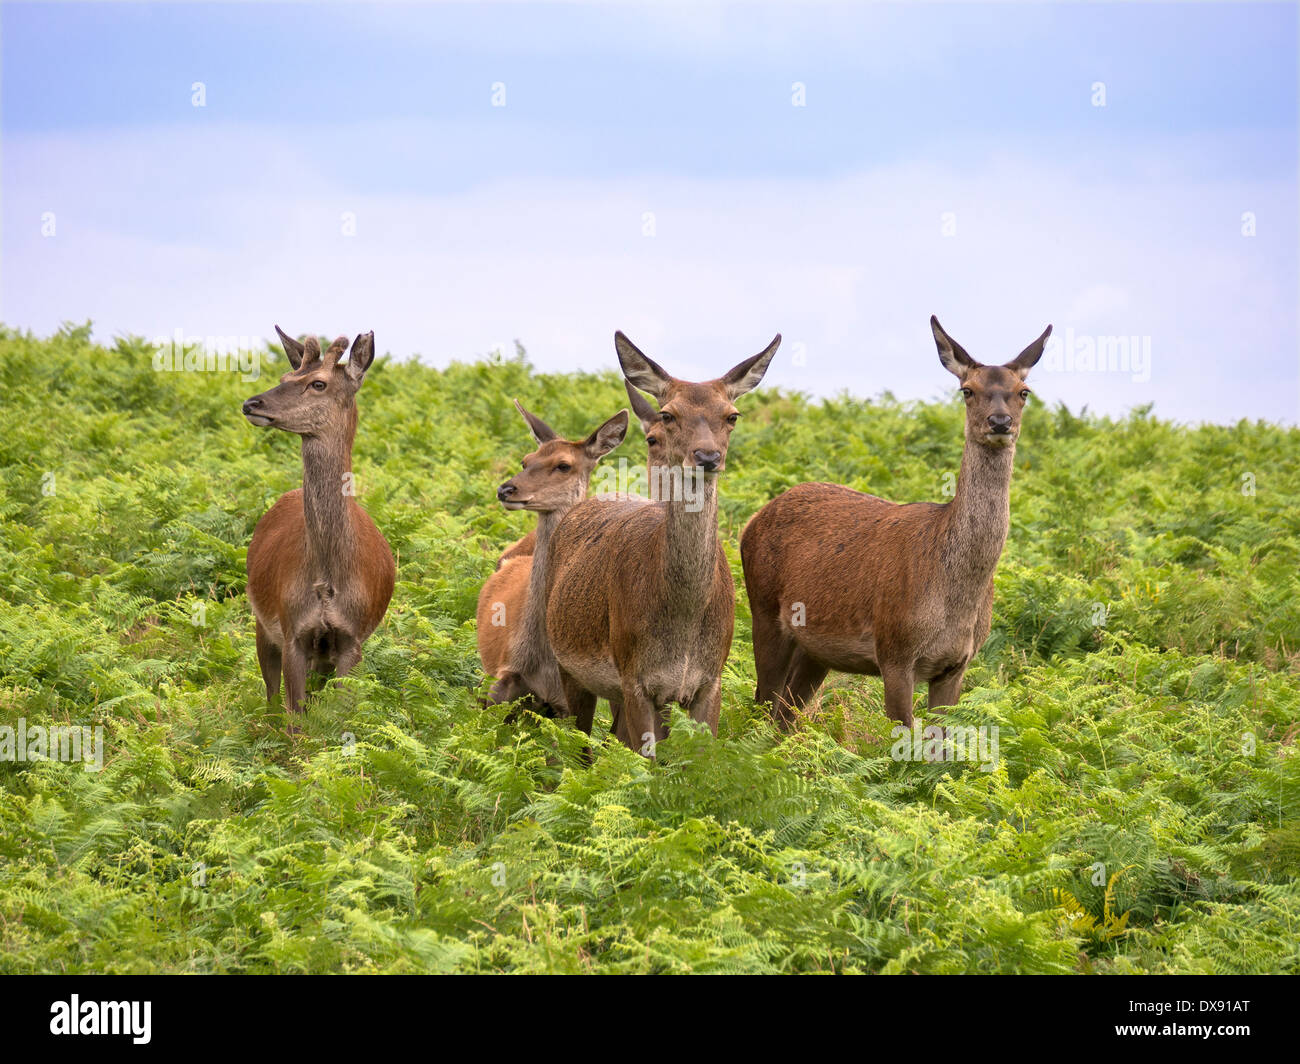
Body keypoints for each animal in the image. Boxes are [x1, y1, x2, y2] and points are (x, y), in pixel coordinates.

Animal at [243, 327, 395, 718]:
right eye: (285, 377)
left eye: (318, 383)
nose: (252, 404)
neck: (328, 580)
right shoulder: (292, 630)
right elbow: (295, 719)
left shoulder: (351, 639)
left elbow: (339, 714)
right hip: (262, 624)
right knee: (270, 697)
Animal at [540, 327, 774, 749]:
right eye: (668, 415)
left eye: (732, 415)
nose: (707, 456)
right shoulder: (634, 679)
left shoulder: (709, 682)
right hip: (569, 664)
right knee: (576, 743)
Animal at [738, 314, 1050, 723]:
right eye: (967, 390)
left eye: (1024, 391)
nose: (1000, 422)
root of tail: (752, 521)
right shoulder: (894, 652)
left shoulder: (956, 665)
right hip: (763, 611)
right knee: (760, 706)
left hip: (815, 651)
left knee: (783, 717)